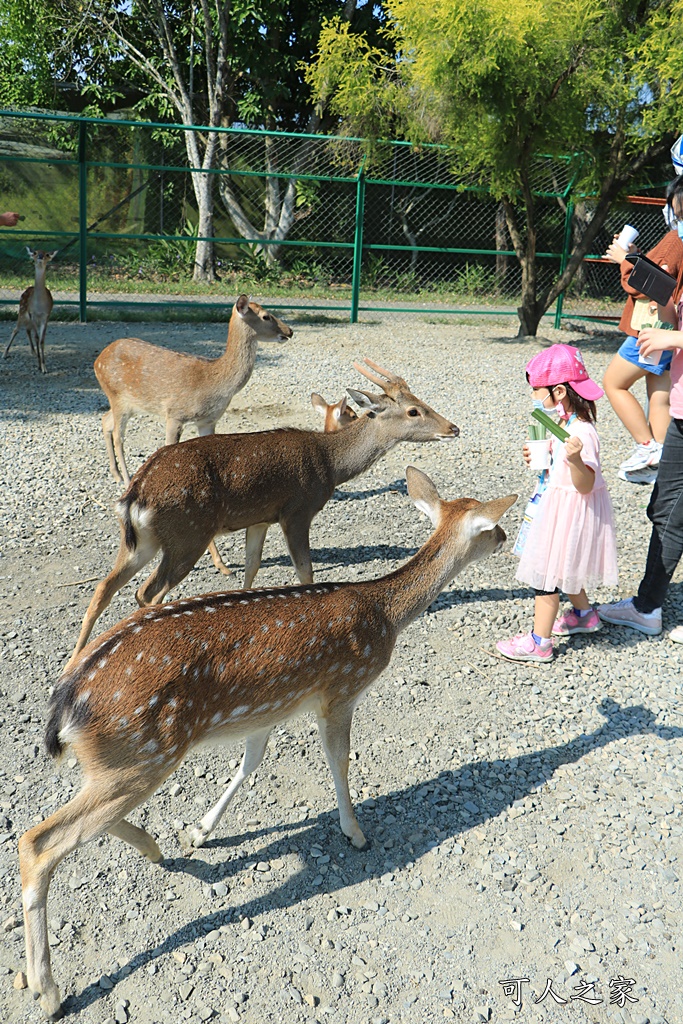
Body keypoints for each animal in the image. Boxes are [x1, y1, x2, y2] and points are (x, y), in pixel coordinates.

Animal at [3, 245, 56, 374]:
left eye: (47, 254)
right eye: (35, 252)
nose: (40, 256)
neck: (39, 305)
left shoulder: (46, 315)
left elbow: (41, 340)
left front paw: (44, 367)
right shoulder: (32, 314)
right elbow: (37, 337)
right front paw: (39, 366)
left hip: (29, 318)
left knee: (27, 330)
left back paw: (33, 352)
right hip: (22, 312)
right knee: (16, 330)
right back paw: (5, 354)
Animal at [18, 468, 516, 1019]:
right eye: (490, 524)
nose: (506, 537)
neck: (385, 612)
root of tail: (65, 705)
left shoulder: (266, 708)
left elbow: (250, 763)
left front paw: (201, 830)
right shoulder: (341, 689)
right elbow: (339, 762)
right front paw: (355, 833)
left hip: (118, 762)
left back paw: (156, 848)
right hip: (142, 753)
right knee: (38, 842)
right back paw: (47, 990)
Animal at [68, 360, 458, 663]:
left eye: (421, 401)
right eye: (413, 410)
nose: (453, 427)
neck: (330, 466)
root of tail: (136, 493)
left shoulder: (260, 519)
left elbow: (252, 567)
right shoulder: (297, 511)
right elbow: (305, 570)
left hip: (142, 540)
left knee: (104, 586)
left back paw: (74, 659)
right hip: (187, 534)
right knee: (146, 593)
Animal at [94, 296, 294, 487]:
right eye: (266, 316)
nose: (290, 331)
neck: (215, 384)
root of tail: (98, 360)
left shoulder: (208, 420)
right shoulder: (175, 413)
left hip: (129, 404)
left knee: (105, 420)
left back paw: (116, 474)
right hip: (117, 395)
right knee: (118, 435)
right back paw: (127, 480)